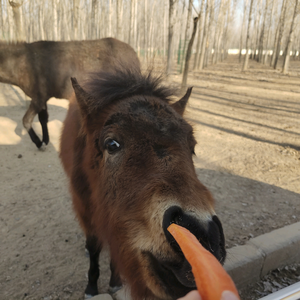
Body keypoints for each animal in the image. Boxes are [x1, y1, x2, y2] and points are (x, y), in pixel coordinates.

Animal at [0, 38, 138, 149]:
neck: (21, 63)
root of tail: (133, 53)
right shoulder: (42, 98)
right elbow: (43, 119)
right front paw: (45, 141)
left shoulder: (38, 98)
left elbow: (26, 120)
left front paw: (39, 143)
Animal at [59, 66, 226, 300]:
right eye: (112, 144)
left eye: (192, 146)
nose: (202, 233)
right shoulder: (86, 210)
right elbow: (93, 247)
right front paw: (91, 288)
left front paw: (115, 282)